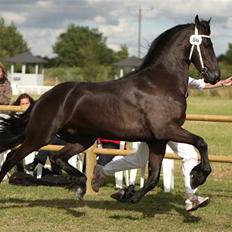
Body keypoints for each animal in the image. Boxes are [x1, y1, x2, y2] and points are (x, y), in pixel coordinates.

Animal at [0, 15, 219, 202]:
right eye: (207, 44)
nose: (215, 76)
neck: (160, 83)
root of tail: (42, 98)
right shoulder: (165, 129)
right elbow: (201, 142)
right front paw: (197, 176)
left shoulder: (158, 139)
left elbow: (153, 178)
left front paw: (127, 195)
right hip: (41, 136)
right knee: (12, 157)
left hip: (82, 139)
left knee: (57, 157)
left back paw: (81, 185)